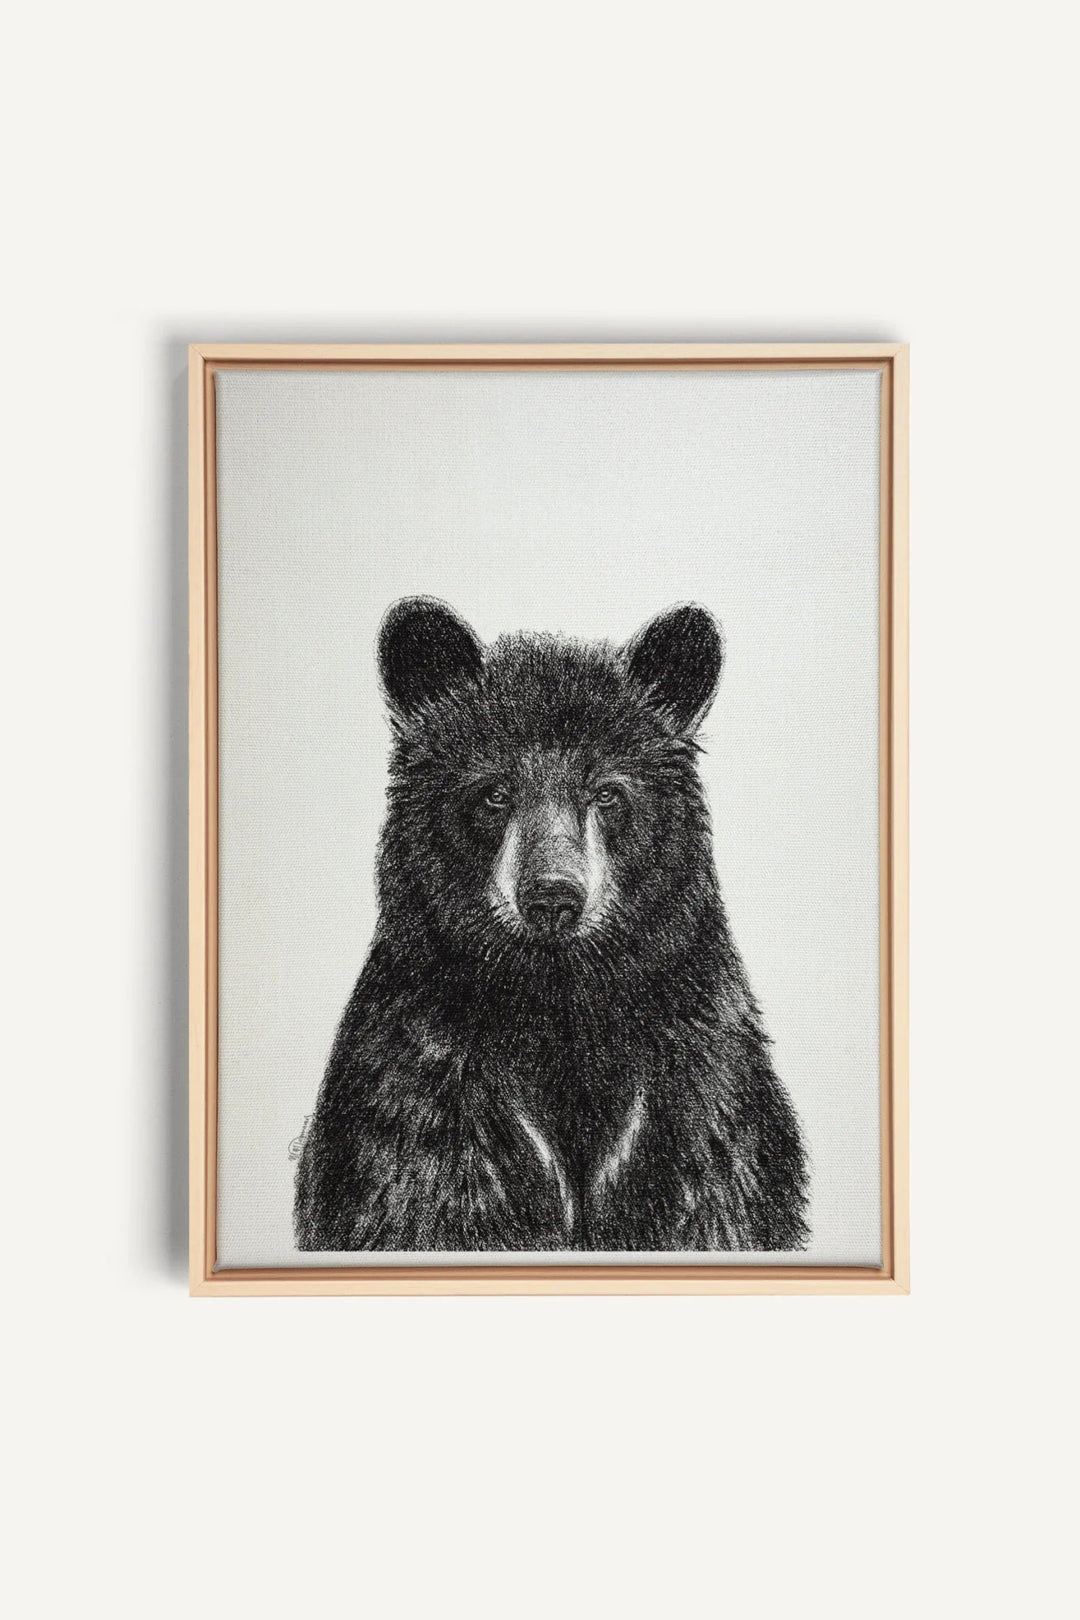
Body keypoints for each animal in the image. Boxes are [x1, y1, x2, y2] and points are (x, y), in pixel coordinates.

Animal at [294, 597, 808, 1252]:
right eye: (494, 792)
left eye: (608, 794)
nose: (553, 897)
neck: (558, 1006)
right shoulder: (423, 1095)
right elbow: (420, 1197)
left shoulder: (699, 1095)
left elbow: (719, 1193)